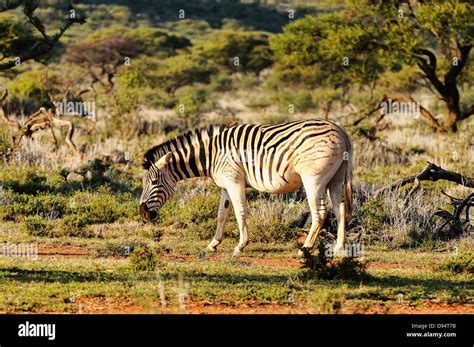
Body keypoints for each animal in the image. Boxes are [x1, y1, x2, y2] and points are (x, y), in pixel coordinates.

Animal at [139, 119, 354, 258]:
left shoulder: (234, 180)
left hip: (314, 179)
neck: (211, 155)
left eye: (155, 182)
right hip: (336, 179)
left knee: (320, 213)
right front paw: (213, 244)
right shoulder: (225, 184)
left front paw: (240, 247)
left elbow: (240, 211)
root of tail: (341, 130)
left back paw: (305, 249)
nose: (143, 214)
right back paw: (339, 248)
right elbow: (222, 214)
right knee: (340, 209)